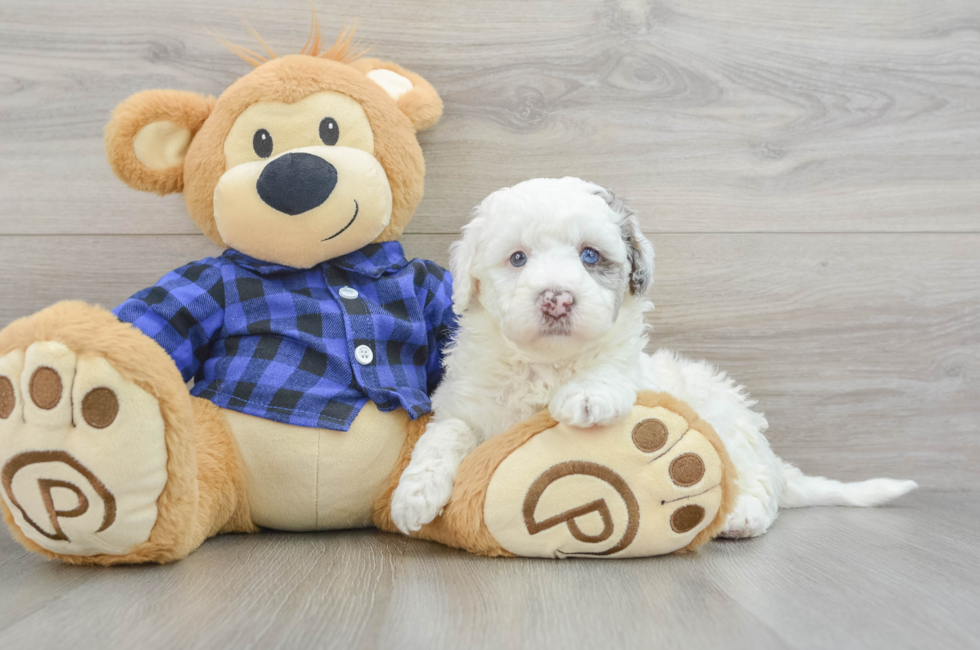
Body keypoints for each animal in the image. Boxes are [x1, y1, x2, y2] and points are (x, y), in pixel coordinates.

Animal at [392, 176, 920, 536]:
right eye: (517, 258)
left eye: (589, 256)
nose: (557, 299)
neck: (545, 365)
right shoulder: (464, 405)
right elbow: (447, 434)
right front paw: (414, 494)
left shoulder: (627, 367)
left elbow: (609, 370)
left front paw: (586, 397)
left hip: (730, 423)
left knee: (756, 483)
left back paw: (742, 515)